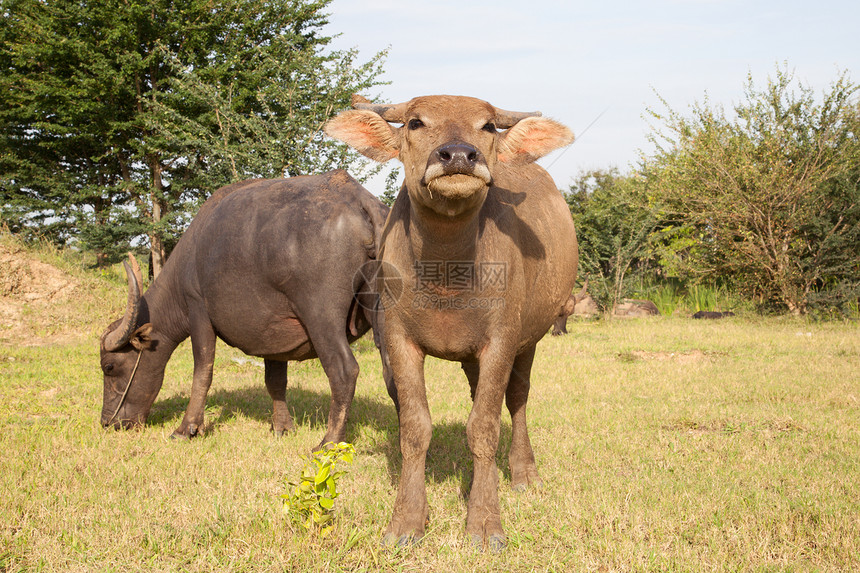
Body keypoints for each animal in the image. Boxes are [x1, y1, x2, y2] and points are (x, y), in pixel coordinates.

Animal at [98, 170, 390, 446]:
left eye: (109, 367)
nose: (107, 422)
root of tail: (359, 200)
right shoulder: (275, 337)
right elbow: (275, 381)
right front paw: (282, 427)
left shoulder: (198, 311)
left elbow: (203, 372)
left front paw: (187, 428)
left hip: (322, 317)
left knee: (344, 371)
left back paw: (330, 441)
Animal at [324, 95, 576, 548]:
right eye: (415, 122)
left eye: (488, 126)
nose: (458, 155)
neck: (446, 274)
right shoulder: (398, 340)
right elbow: (414, 428)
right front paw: (407, 522)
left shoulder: (501, 341)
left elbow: (484, 428)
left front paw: (485, 524)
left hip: (530, 339)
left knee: (517, 400)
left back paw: (524, 473)